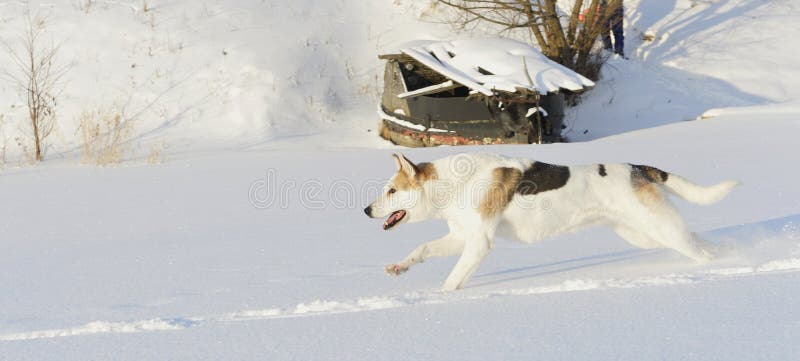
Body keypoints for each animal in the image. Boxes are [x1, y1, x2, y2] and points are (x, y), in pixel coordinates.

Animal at [362, 152, 736, 290]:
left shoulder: (479, 243)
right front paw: (399, 268)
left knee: (699, 250)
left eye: (392, 190)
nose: (366, 211)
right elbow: (421, 248)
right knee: (700, 242)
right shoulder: (460, 238)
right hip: (644, 234)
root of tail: (637, 168)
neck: (455, 184)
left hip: (659, 228)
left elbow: (452, 280)